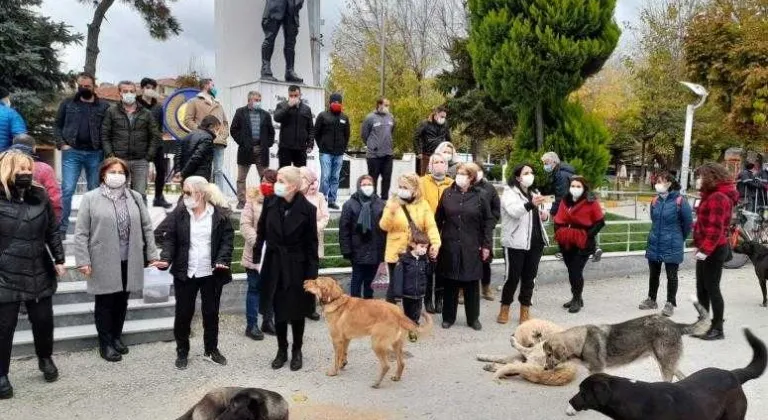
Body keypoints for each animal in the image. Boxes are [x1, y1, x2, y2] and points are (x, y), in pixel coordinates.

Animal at [308, 278, 438, 388]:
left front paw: (334, 372)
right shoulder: (346, 339)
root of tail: (398, 314)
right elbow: (343, 355)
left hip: (377, 345)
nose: (305, 282)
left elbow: (336, 358)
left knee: (386, 366)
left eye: (315, 282)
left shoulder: (336, 340)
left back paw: (376, 383)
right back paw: (396, 377)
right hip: (396, 345)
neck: (336, 299)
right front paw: (342, 364)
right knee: (401, 363)